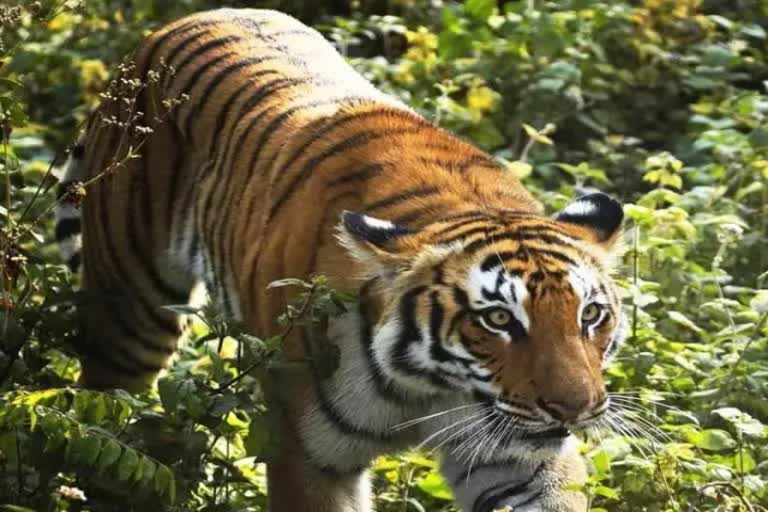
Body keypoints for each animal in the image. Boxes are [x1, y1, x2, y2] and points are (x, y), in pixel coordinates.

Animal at [57, 8, 628, 512]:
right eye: (498, 320)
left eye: (590, 315)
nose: (575, 408)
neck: (428, 388)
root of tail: (173, 26)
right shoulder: (306, 454)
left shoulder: (516, 455)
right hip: (130, 322)